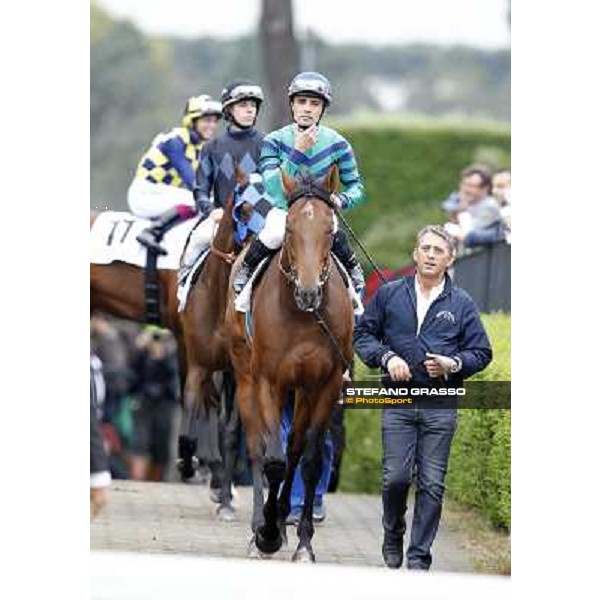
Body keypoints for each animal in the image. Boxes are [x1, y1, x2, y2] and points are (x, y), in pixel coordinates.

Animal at [226, 165, 356, 564]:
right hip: (245, 375)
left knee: (296, 447)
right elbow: (273, 460)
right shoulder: (270, 380)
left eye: (329, 229)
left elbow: (309, 460)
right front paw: (266, 534)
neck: (303, 316)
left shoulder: (325, 384)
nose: (310, 291)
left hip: (303, 391)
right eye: (289, 229)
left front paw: (303, 543)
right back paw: (260, 524)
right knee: (257, 447)